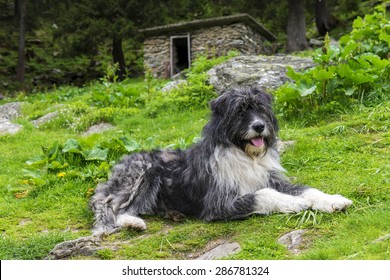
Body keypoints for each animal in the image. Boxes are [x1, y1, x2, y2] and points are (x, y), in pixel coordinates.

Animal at [90, 86, 352, 235]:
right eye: (240, 111)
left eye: (260, 108)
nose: (259, 126)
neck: (245, 154)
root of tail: (118, 165)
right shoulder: (219, 203)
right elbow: (264, 194)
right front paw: (294, 203)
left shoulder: (273, 179)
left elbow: (307, 189)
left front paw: (333, 200)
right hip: (144, 173)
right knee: (114, 207)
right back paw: (132, 222)